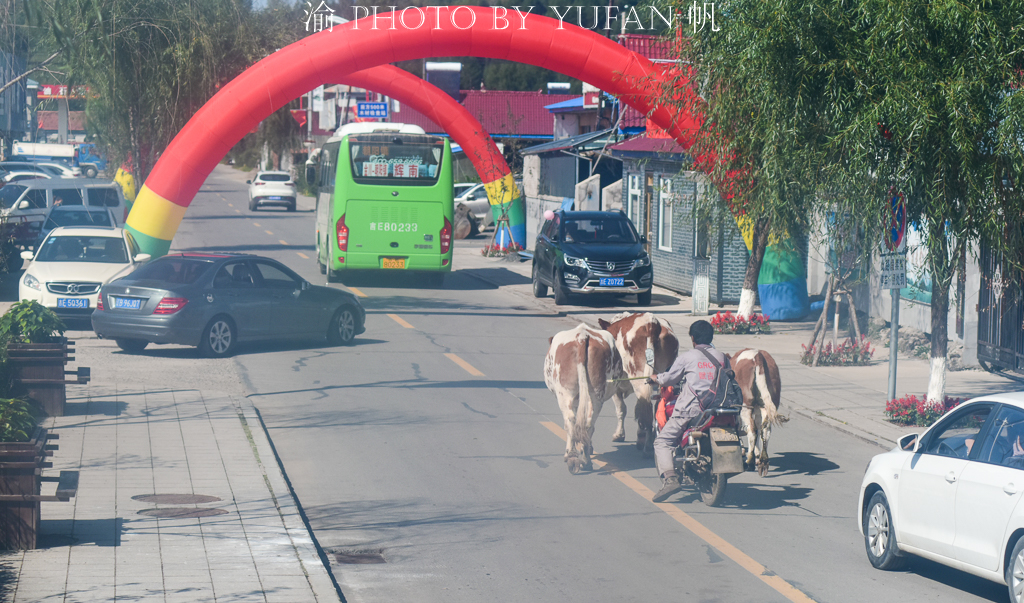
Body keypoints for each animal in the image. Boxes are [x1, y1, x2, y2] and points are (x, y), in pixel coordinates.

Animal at [544, 321, 622, 472]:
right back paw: (585, 459)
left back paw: (572, 456)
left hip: (564, 393)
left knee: (570, 421)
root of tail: (582, 336)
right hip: (596, 393)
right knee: (588, 423)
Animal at [593, 311, 679, 456]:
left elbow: (621, 409)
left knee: (646, 409)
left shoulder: (614, 385)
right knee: (655, 407)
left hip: (638, 377)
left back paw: (647, 447)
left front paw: (619, 435)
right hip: (664, 378)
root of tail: (651, 322)